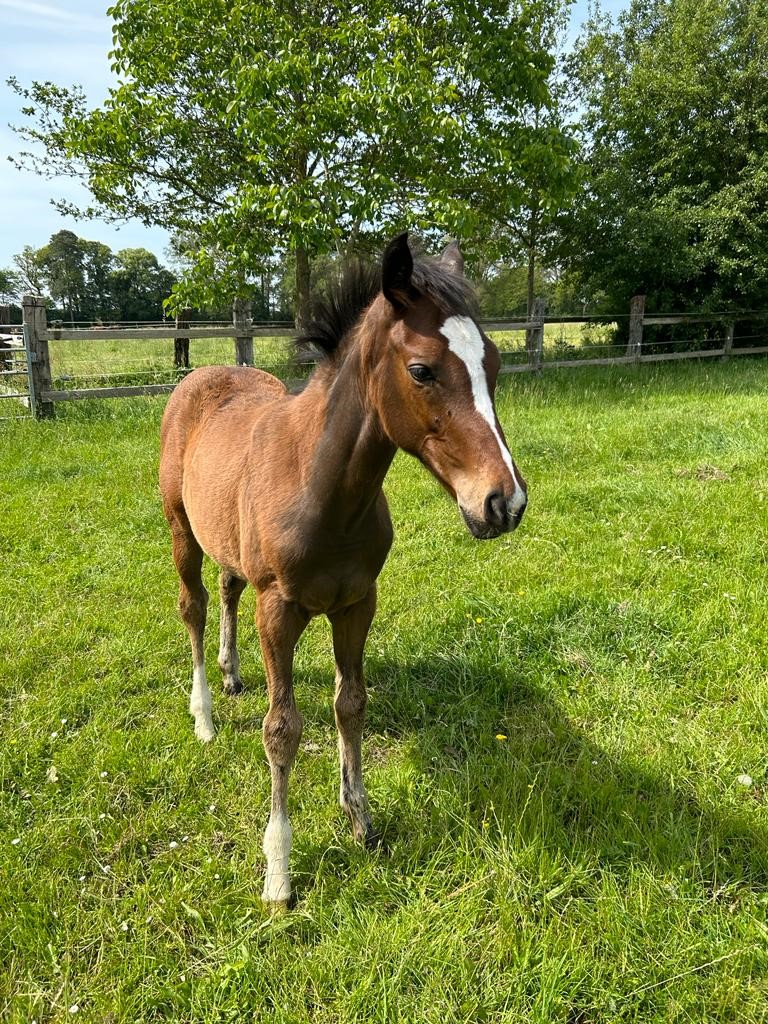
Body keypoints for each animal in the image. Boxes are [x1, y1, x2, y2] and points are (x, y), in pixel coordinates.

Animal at [159, 232, 528, 905]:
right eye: (422, 370)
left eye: (493, 365)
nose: (504, 503)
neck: (321, 488)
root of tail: (203, 373)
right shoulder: (278, 609)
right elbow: (281, 729)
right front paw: (278, 871)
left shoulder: (358, 602)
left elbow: (350, 704)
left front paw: (361, 818)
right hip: (181, 529)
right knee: (192, 607)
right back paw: (204, 715)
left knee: (226, 588)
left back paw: (230, 672)